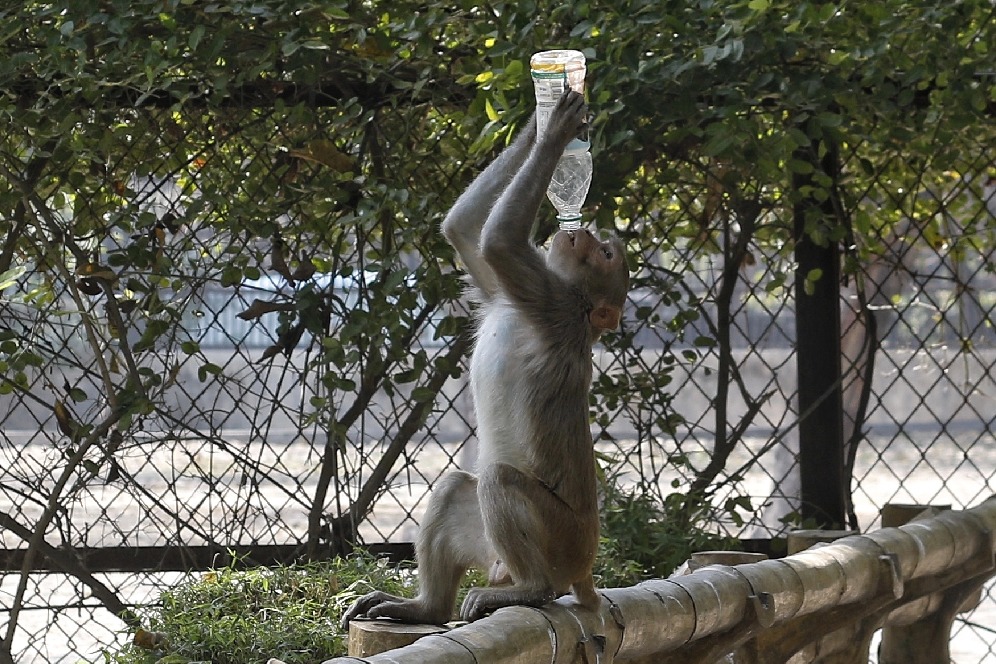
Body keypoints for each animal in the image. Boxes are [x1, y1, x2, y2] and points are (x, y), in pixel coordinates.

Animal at [343, 90, 629, 626]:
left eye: (604, 253)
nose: (582, 233)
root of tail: (584, 567)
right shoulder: (507, 293)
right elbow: (464, 229)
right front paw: (540, 119)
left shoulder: (549, 300)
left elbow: (499, 242)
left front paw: (556, 132)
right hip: (493, 547)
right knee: (457, 486)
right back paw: (425, 608)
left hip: (559, 539)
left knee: (497, 481)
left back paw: (531, 590)